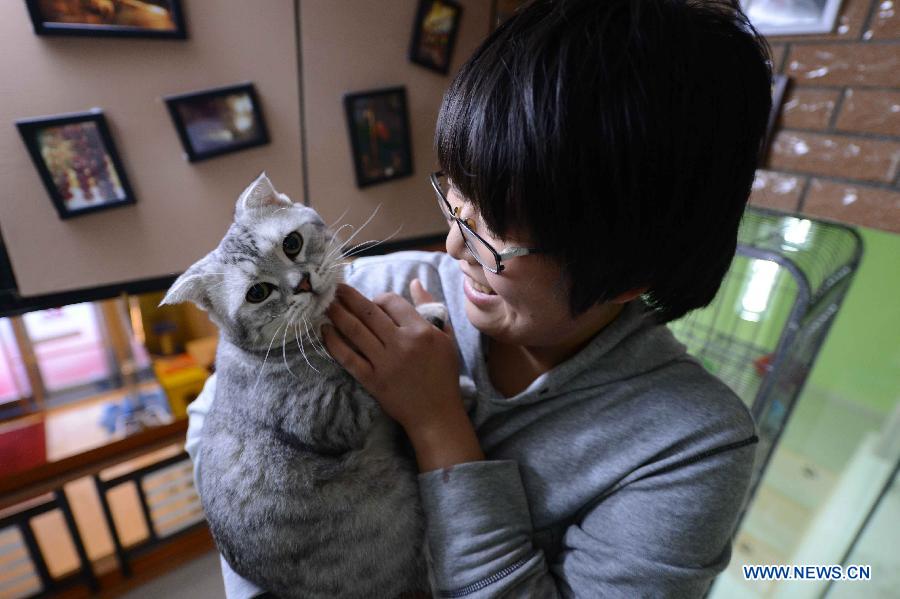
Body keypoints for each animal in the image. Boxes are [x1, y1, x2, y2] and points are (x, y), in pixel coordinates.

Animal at [163, 175, 446, 599]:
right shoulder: (325, 415)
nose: (303, 282)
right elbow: (362, 380)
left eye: (291, 243)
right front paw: (423, 316)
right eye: (258, 292)